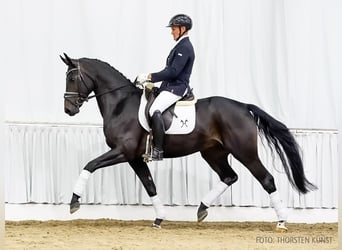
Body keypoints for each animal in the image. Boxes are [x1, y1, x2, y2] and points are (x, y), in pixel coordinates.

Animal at [60, 53, 316, 231]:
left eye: (72, 77)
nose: (68, 110)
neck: (121, 104)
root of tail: (243, 107)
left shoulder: (122, 151)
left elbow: (89, 165)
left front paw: (74, 202)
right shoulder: (134, 157)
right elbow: (150, 185)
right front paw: (159, 218)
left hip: (244, 152)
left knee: (266, 179)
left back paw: (281, 222)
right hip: (213, 153)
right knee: (229, 176)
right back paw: (202, 209)